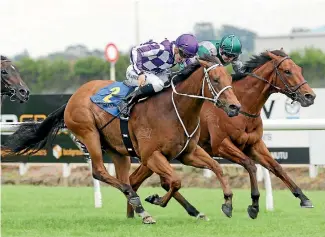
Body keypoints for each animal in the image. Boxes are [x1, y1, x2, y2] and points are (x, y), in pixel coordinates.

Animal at [3, 55, 240, 224]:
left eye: (230, 79)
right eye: (216, 79)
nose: (235, 107)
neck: (173, 109)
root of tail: (72, 98)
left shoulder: (188, 153)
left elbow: (217, 169)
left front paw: (227, 203)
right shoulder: (151, 155)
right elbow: (175, 181)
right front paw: (156, 200)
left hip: (118, 151)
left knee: (126, 179)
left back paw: (141, 211)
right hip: (89, 133)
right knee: (101, 172)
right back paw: (138, 204)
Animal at [126, 49, 314, 219]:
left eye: (299, 69)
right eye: (287, 71)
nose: (310, 96)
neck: (243, 107)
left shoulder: (254, 144)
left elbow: (276, 167)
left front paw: (303, 197)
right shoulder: (221, 145)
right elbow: (250, 164)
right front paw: (253, 205)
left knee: (141, 180)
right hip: (153, 153)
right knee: (142, 179)